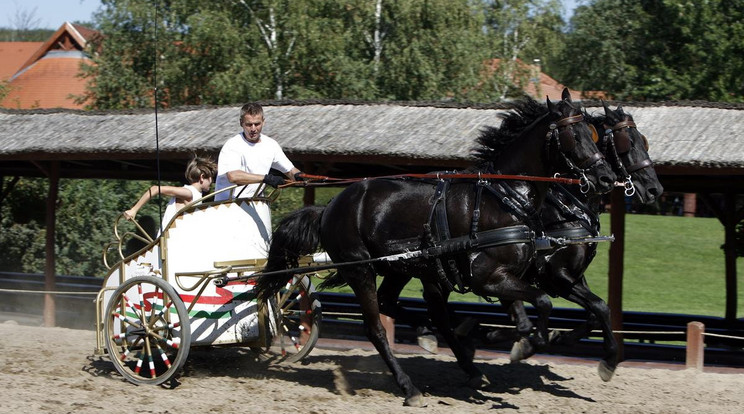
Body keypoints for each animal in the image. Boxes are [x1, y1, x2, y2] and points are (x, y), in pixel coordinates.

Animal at [253, 90, 612, 404]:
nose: (606, 177)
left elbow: (584, 308)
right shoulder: (493, 277)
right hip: (361, 270)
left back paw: (448, 351)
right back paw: (410, 387)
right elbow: (541, 306)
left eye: (593, 133)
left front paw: (599, 358)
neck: (505, 198)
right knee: (376, 328)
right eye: (574, 133)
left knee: (395, 304)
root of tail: (329, 207)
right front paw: (521, 341)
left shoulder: (524, 276)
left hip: (400, 266)